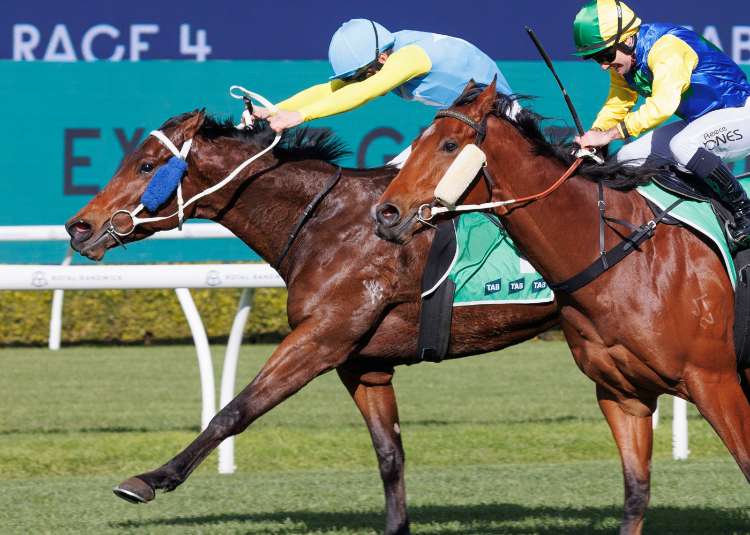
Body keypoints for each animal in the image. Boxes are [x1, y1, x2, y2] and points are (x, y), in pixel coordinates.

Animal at [65, 109, 558, 535]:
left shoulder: (322, 338)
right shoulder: (362, 363)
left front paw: (151, 478)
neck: (329, 223)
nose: (78, 227)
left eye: (147, 165)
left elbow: (235, 410)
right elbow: (389, 452)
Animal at [374, 80, 750, 535]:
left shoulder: (715, 381)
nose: (385, 213)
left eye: (448, 145)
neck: (619, 254)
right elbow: (635, 494)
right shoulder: (622, 394)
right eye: (416, 142)